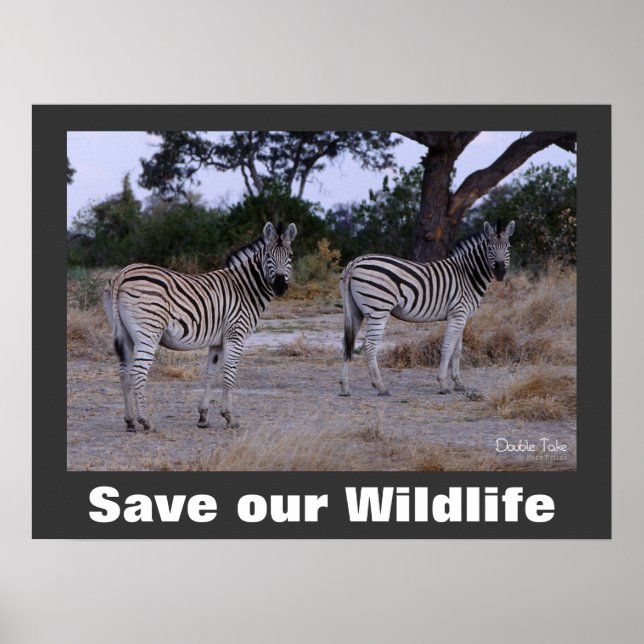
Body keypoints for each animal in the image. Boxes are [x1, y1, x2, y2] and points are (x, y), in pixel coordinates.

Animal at [103, 221, 297, 432]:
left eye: (290, 256)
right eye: (268, 255)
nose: (280, 286)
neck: (245, 289)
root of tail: (123, 273)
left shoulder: (218, 341)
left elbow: (211, 374)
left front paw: (203, 416)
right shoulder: (235, 334)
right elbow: (229, 374)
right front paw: (229, 417)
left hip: (125, 334)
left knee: (124, 373)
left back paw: (130, 421)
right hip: (148, 332)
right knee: (138, 372)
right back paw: (146, 422)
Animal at [339, 220, 515, 397]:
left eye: (508, 247)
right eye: (490, 247)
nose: (500, 272)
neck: (467, 275)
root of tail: (356, 262)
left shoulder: (462, 316)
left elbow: (457, 349)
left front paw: (458, 383)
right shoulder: (458, 314)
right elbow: (448, 348)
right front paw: (443, 383)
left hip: (355, 311)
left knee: (348, 343)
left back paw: (345, 387)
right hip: (379, 310)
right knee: (369, 345)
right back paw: (380, 386)